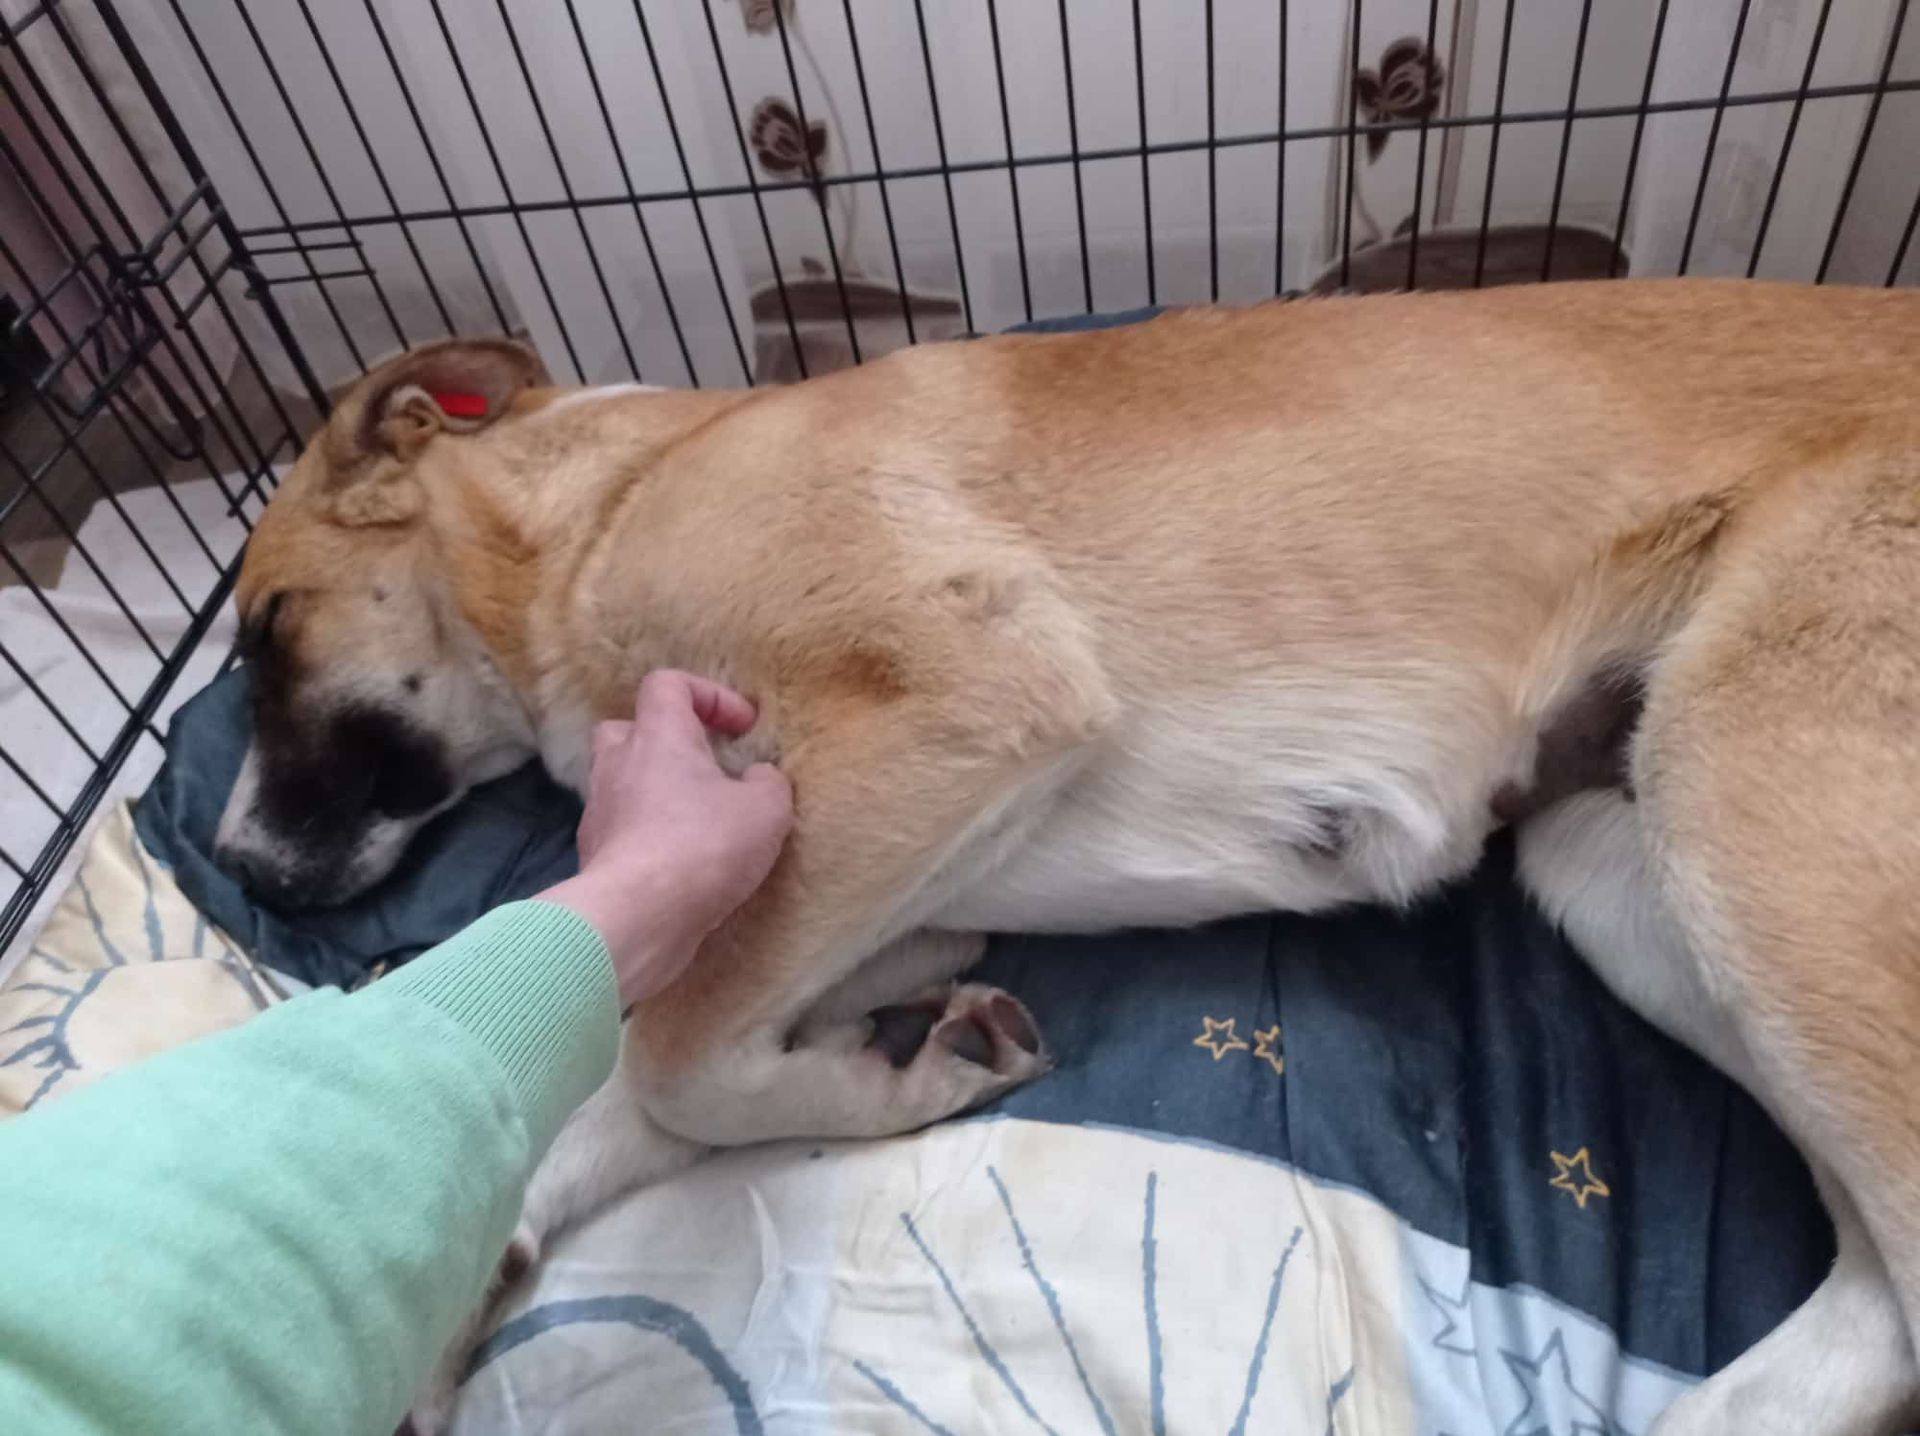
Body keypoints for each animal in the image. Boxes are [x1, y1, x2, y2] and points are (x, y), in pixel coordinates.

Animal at [217, 279, 1920, 1435]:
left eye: (266, 631)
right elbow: (625, 1067)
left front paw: (903, 1077)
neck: (600, 512)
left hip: (1746, 794)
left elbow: (683, 1061)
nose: (235, 870)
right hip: (1621, 865)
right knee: (1877, 1315)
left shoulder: (963, 702)